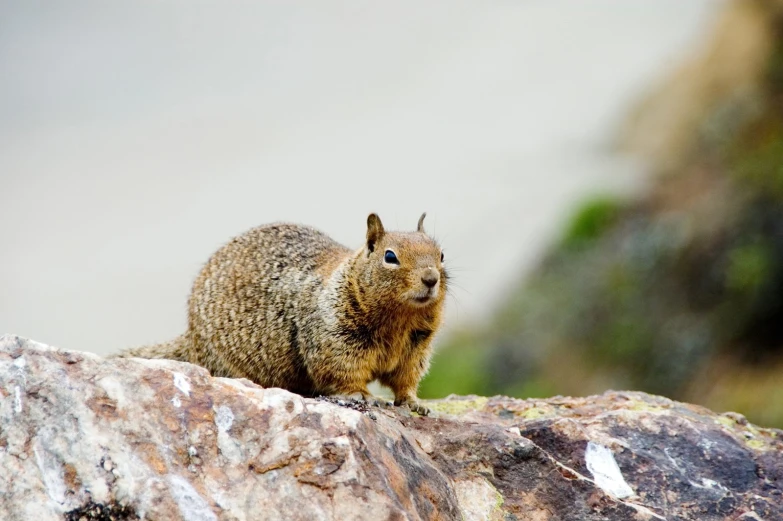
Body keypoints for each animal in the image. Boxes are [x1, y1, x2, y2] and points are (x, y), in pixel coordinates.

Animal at [117, 213, 448, 412]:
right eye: (390, 257)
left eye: (442, 254)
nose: (431, 278)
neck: (398, 320)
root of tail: (191, 337)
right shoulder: (334, 338)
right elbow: (342, 373)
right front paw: (362, 395)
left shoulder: (416, 347)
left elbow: (406, 378)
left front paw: (414, 402)